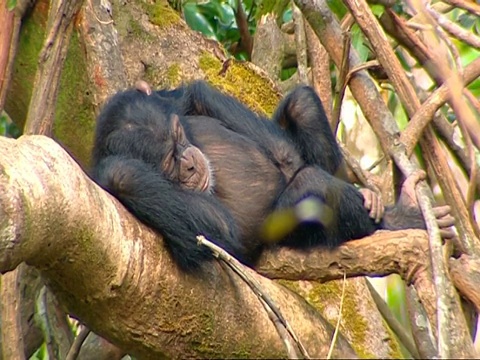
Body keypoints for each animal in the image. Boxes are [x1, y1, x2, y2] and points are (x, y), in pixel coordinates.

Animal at [90, 81, 454, 272]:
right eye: (169, 161)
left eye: (179, 136)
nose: (190, 164)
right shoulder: (121, 176)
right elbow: (216, 228)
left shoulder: (172, 103)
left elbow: (196, 94)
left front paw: (285, 161)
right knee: (313, 186)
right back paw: (401, 220)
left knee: (301, 104)